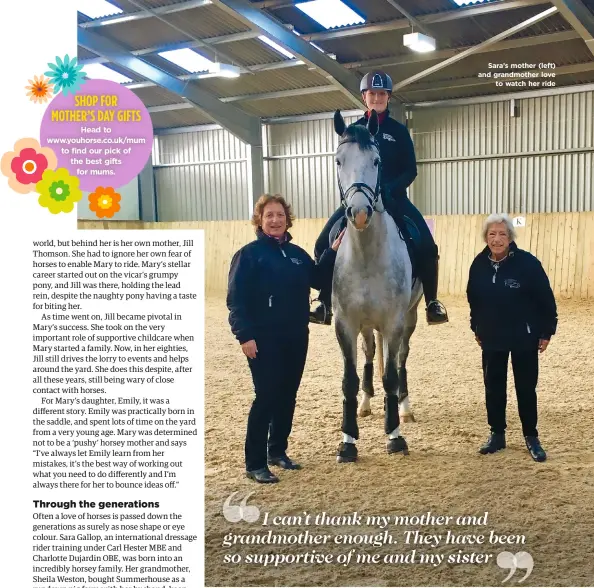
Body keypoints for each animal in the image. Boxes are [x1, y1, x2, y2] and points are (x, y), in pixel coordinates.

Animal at [330, 108, 424, 462]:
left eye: (376, 160)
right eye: (339, 160)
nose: (359, 213)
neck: (367, 253)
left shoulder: (394, 322)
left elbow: (392, 374)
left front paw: (395, 435)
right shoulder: (345, 323)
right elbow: (349, 378)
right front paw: (347, 441)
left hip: (409, 318)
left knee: (401, 359)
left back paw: (404, 407)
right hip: (367, 325)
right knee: (370, 354)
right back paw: (367, 403)